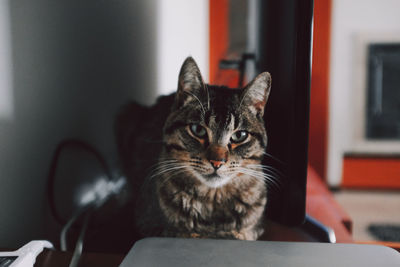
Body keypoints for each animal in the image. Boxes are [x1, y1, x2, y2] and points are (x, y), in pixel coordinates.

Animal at [115, 56, 272, 241]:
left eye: (239, 135)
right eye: (198, 130)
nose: (217, 162)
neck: (213, 200)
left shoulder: (252, 229)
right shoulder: (150, 225)